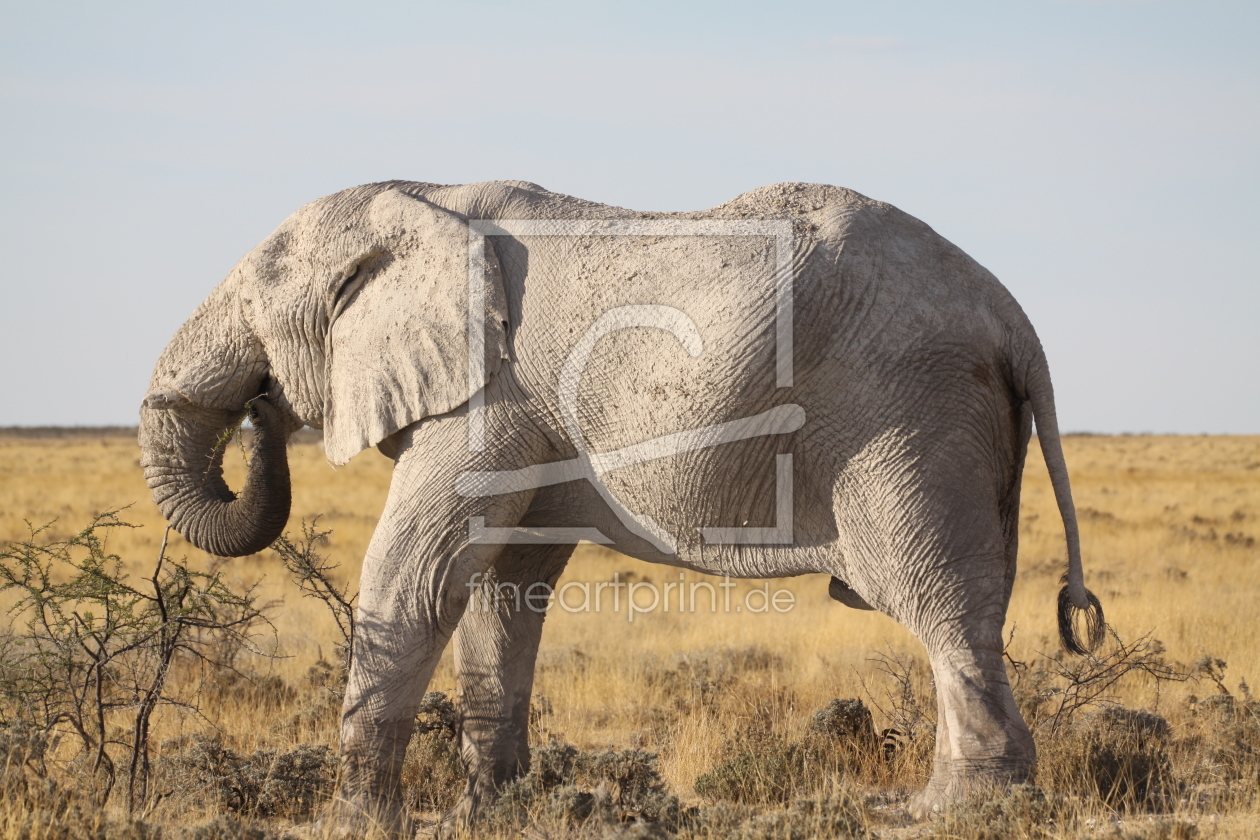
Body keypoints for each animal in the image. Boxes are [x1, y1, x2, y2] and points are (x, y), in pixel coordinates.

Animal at [140, 181, 1103, 831]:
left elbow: (417, 577)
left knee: (938, 602)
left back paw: (951, 813)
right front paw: (495, 812)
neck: (426, 195)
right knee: (965, 605)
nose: (265, 409)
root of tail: (1014, 318)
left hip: (908, 421)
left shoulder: (491, 393)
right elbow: (505, 587)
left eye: (253, 299)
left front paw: (356, 824)